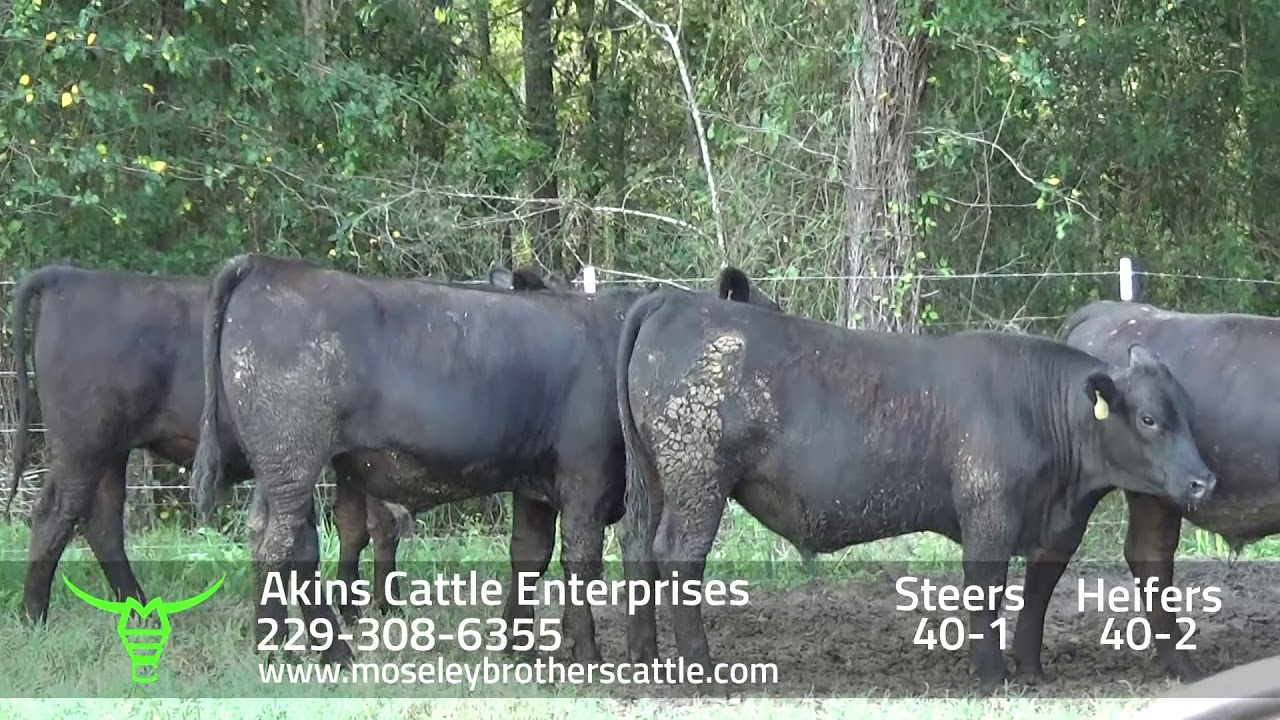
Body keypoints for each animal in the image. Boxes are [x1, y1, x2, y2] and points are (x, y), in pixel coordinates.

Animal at [4, 261, 555, 625]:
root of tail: (70, 276)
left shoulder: (348, 464)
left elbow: (362, 528)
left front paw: (366, 605)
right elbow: (367, 528)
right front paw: (370, 607)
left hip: (109, 451)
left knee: (100, 522)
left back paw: (139, 609)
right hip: (82, 444)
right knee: (56, 516)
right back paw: (34, 615)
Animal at [188, 253, 781, 665]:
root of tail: (266, 265)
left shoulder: (536, 484)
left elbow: (529, 556)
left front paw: (521, 647)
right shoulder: (586, 477)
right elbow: (581, 559)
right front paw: (585, 652)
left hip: (276, 469)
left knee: (265, 538)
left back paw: (273, 642)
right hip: (295, 459)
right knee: (286, 547)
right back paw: (315, 652)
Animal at [614, 289, 1217, 694]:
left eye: (1187, 411)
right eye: (1148, 418)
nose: (1203, 480)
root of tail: (673, 301)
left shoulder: (1053, 529)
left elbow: (1037, 592)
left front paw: (1030, 669)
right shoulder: (988, 517)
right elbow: (986, 592)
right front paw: (993, 675)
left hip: (654, 483)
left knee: (639, 548)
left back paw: (647, 658)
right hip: (698, 481)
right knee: (679, 555)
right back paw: (703, 671)